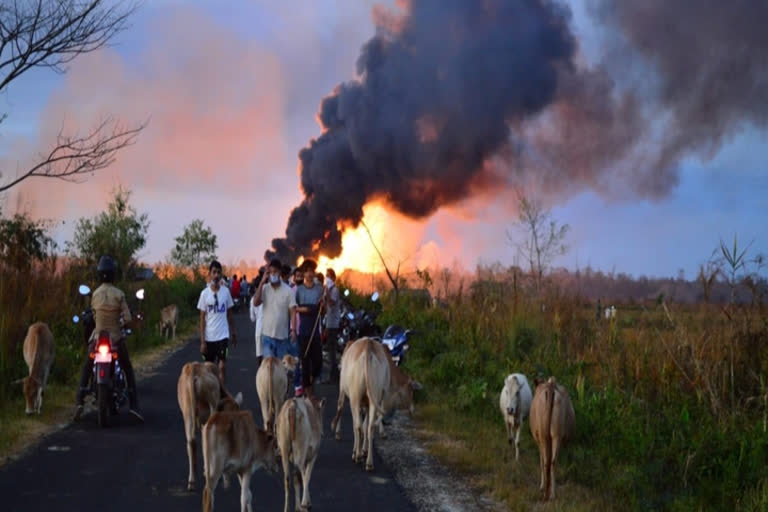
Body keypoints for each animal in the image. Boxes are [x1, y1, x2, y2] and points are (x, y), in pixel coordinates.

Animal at [330, 338, 390, 470]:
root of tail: (368, 345)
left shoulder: (343, 391)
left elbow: (342, 409)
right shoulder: (367, 404)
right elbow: (365, 425)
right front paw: (364, 450)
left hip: (355, 398)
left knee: (357, 426)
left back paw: (356, 456)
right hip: (375, 396)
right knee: (370, 427)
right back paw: (369, 463)